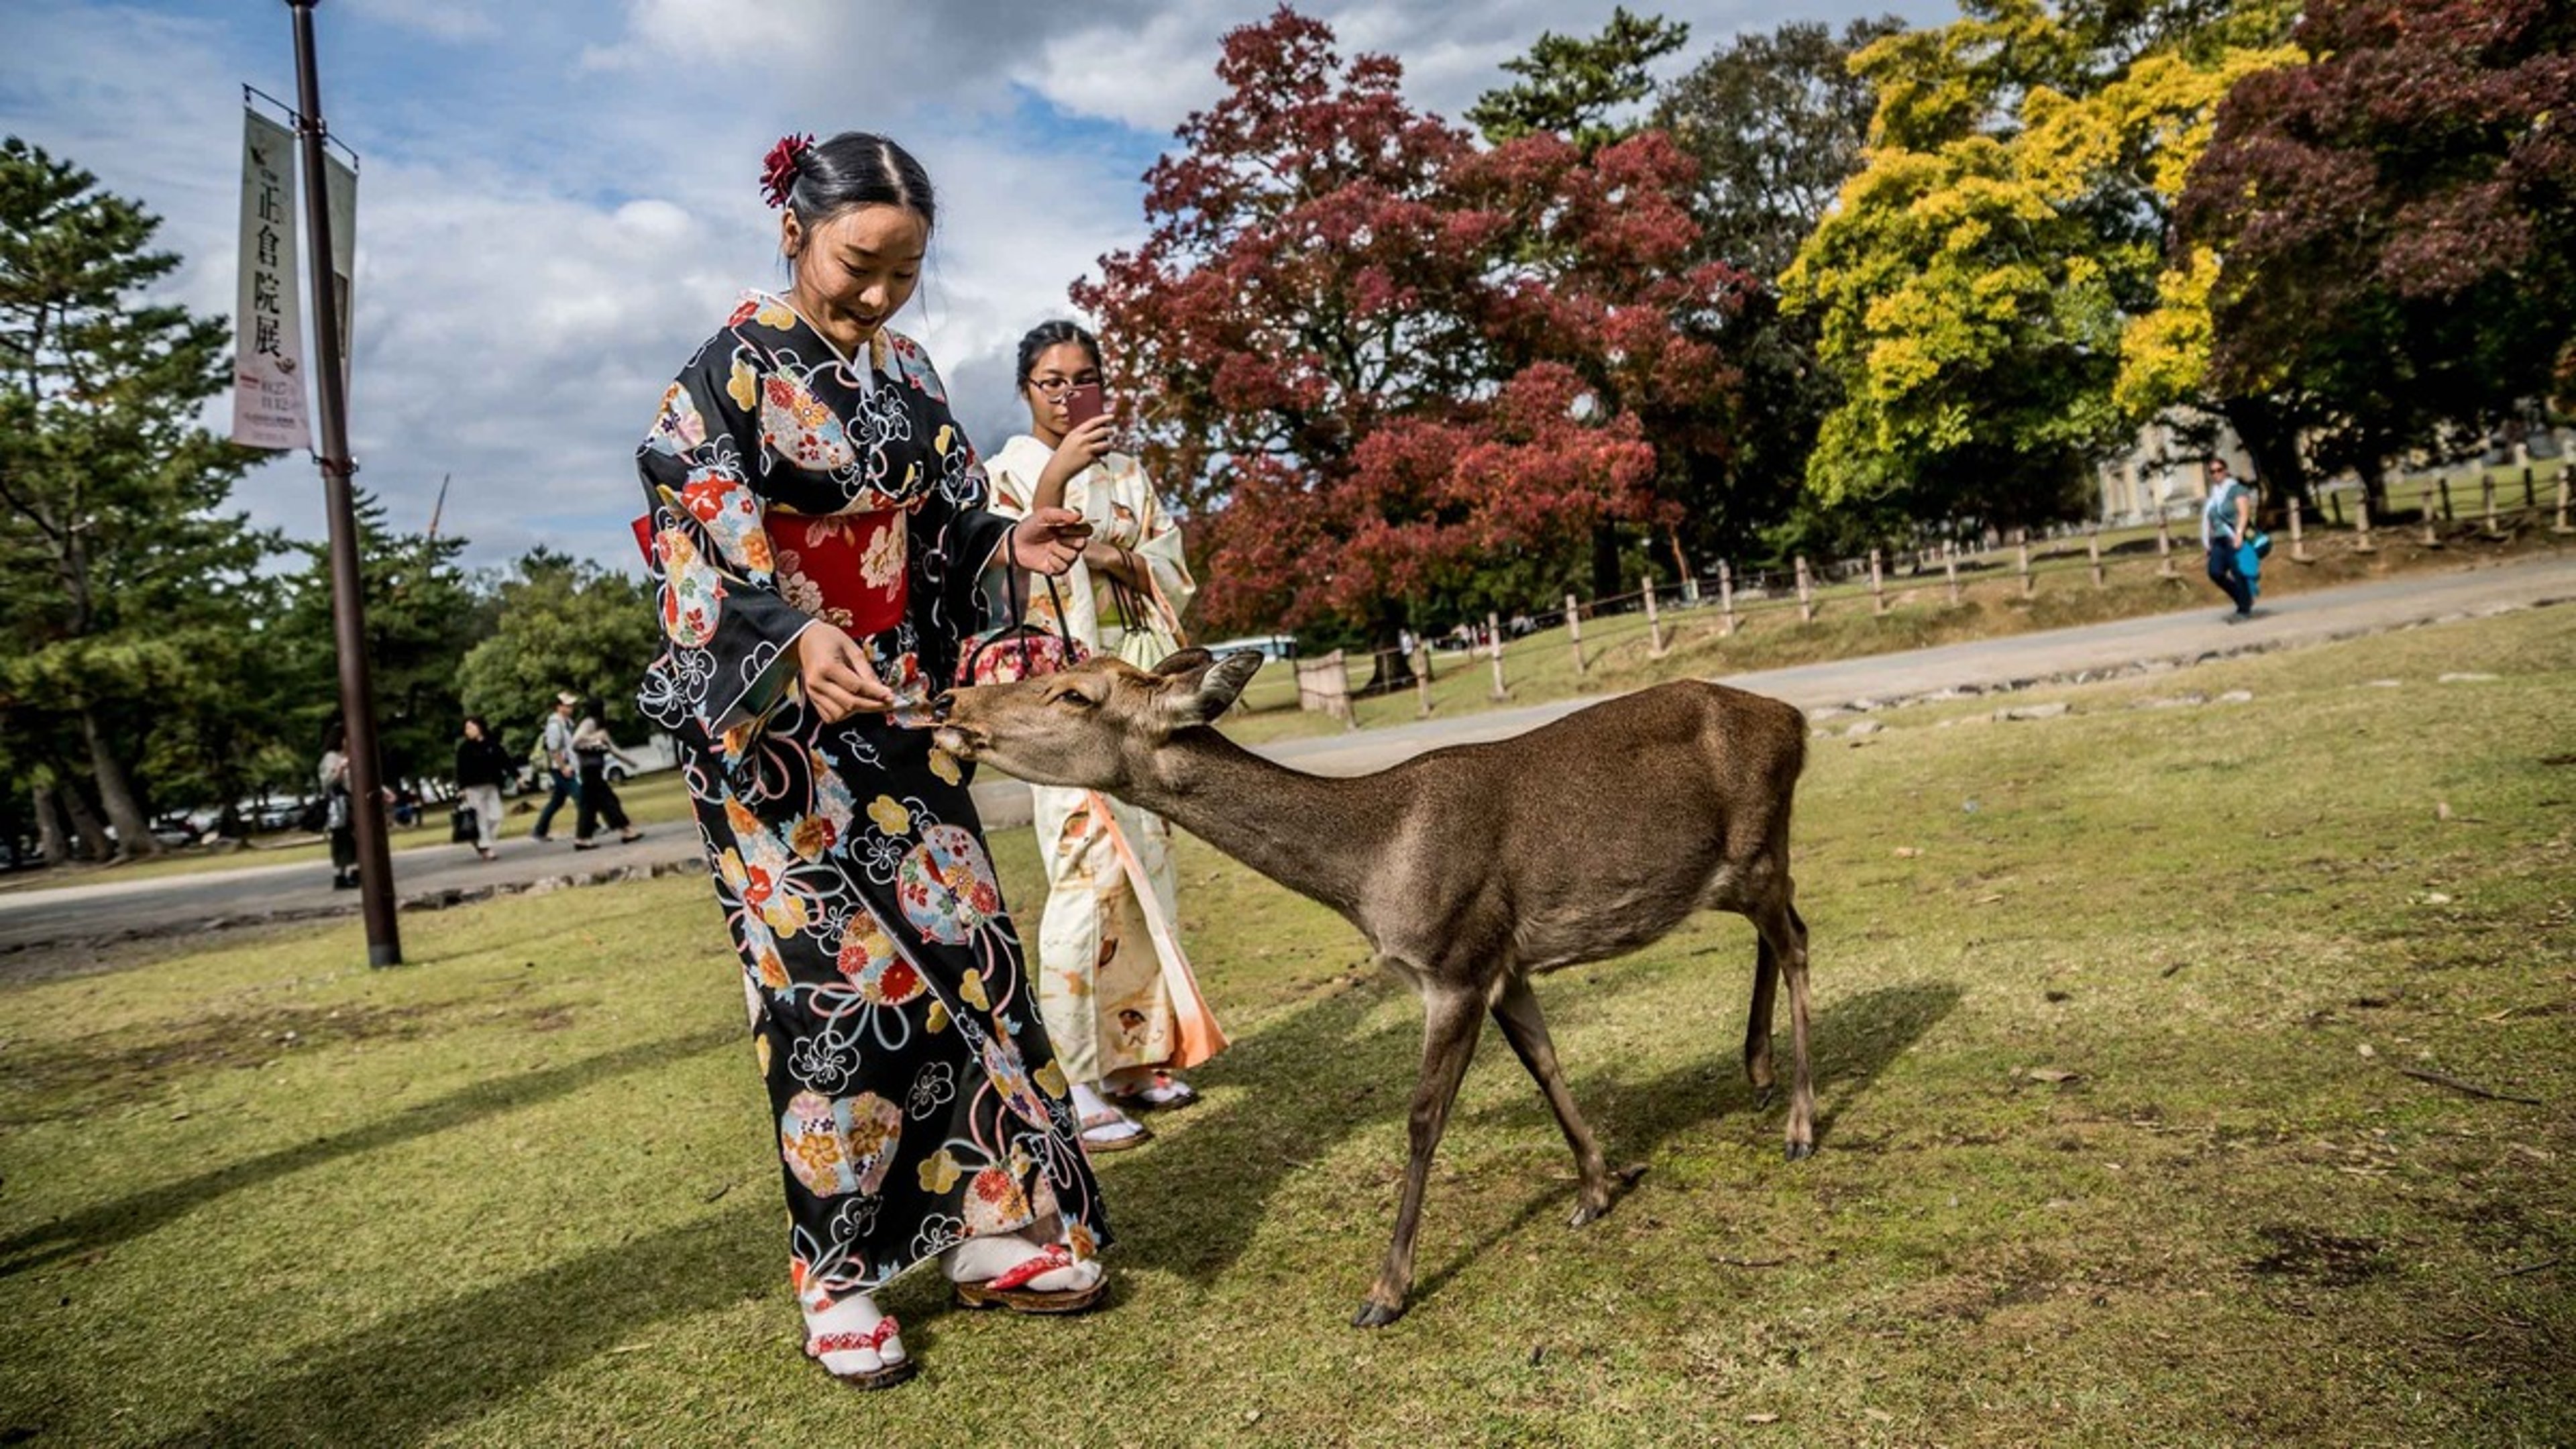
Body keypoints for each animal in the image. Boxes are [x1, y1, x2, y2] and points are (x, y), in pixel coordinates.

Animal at [932, 649, 1813, 1330]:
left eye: (1073, 692)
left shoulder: (1454, 961)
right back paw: (1759, 1076)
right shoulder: (1504, 961)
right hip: (1737, 870)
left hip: (1761, 845)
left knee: (1798, 940)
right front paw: (1598, 1187)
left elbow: (1423, 1120)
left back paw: (1801, 1123)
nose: (949, 701)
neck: (1370, 875)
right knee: (1779, 933)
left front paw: (1384, 1292)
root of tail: (1797, 721)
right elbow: (1546, 1063)